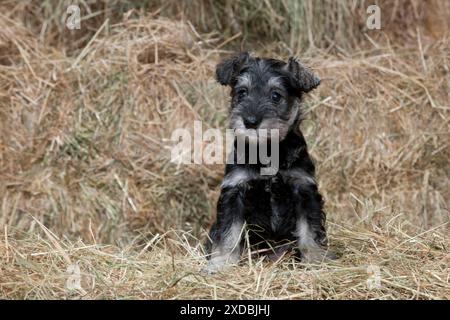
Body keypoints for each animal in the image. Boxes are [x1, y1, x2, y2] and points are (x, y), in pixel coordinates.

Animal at [204, 52, 330, 272]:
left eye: (275, 96)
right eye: (242, 92)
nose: (250, 121)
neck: (268, 151)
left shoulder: (304, 189)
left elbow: (310, 230)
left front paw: (315, 260)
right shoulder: (234, 191)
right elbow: (229, 234)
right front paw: (220, 263)